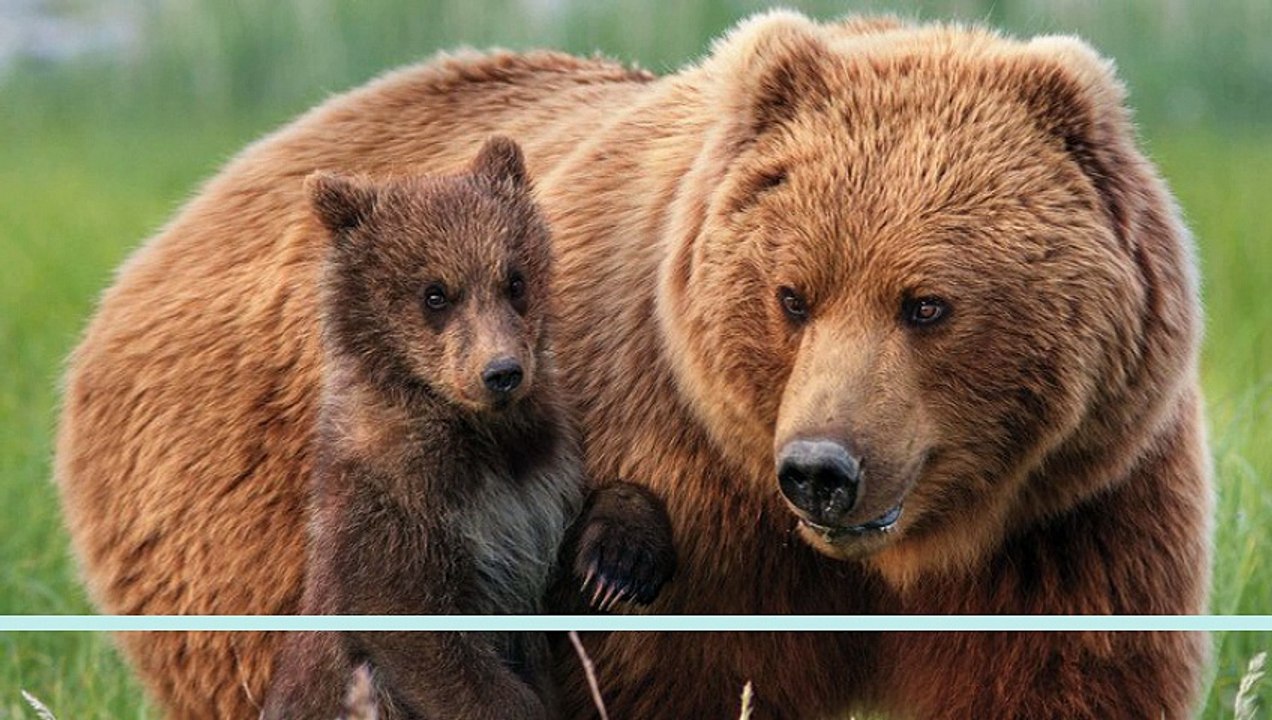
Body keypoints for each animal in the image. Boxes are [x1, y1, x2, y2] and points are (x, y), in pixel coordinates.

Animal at [262, 138, 674, 720]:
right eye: (435, 293)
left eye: (515, 281)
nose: (502, 372)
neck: (484, 439)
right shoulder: (396, 497)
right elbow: (418, 630)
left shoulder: (538, 488)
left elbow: (566, 585)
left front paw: (619, 560)